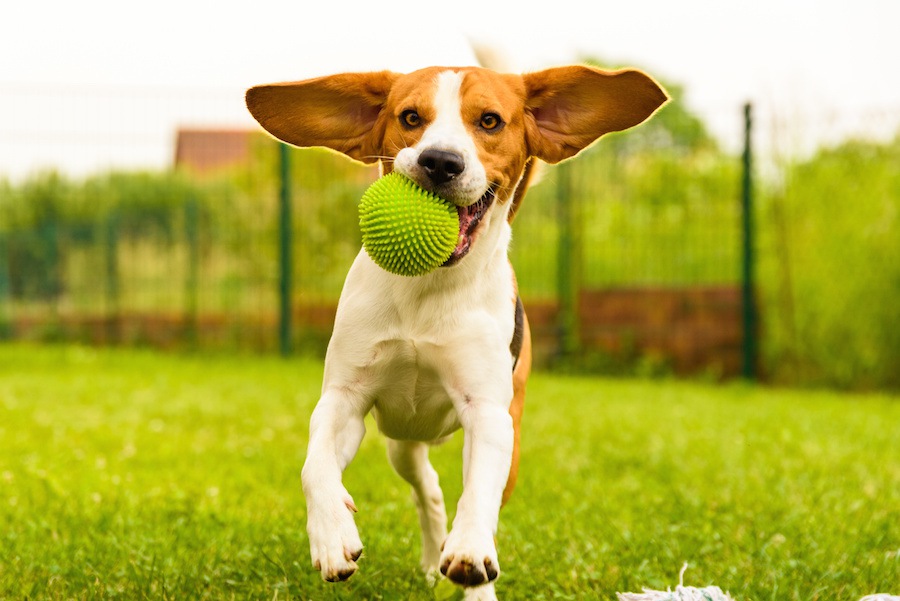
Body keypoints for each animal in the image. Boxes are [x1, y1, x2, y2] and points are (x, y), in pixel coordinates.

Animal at [246, 63, 668, 596]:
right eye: (410, 117)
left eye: (489, 121)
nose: (440, 162)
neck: (428, 289)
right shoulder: (344, 398)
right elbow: (314, 465)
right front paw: (331, 536)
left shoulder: (487, 413)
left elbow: (479, 496)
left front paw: (468, 555)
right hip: (402, 442)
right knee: (428, 489)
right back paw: (430, 558)